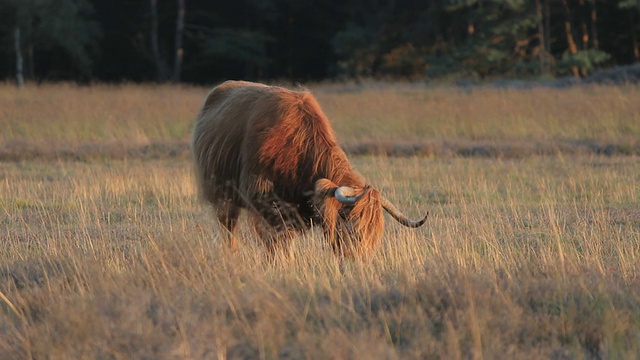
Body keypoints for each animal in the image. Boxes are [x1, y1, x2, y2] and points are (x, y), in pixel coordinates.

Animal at [192, 81, 428, 256]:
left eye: (376, 231)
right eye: (354, 229)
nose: (362, 258)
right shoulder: (264, 203)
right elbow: (274, 242)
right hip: (222, 195)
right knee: (228, 226)